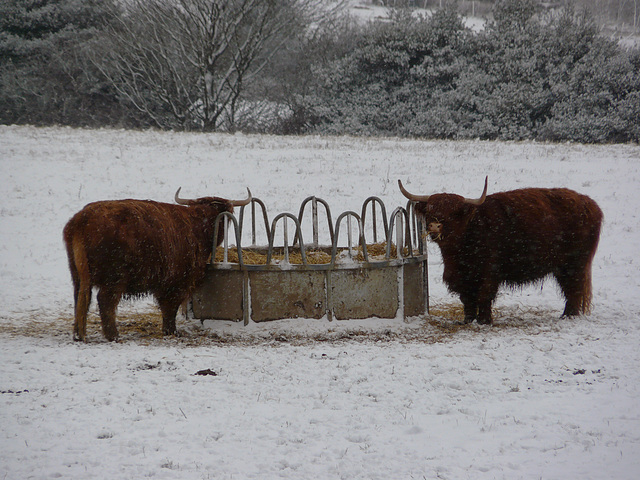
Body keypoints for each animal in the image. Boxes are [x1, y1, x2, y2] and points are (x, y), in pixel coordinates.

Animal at [63, 188, 250, 342]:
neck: (198, 225)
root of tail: (82, 219)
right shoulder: (178, 281)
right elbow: (170, 307)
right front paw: (171, 331)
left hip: (77, 274)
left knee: (80, 298)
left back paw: (78, 334)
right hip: (114, 278)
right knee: (105, 301)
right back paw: (113, 336)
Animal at [398, 178, 604, 324]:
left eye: (454, 212)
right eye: (431, 210)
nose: (434, 226)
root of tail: (590, 204)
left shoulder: (490, 272)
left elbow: (484, 295)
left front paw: (484, 321)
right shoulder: (462, 276)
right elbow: (467, 298)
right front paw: (468, 320)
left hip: (575, 264)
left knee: (574, 289)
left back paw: (568, 316)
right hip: (563, 267)